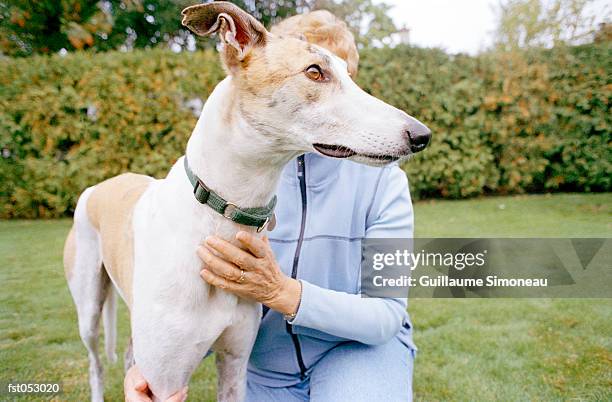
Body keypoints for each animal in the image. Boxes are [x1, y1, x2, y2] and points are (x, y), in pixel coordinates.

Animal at [63, 1, 430, 400]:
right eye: (314, 71)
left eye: (349, 74)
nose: (421, 135)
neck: (219, 214)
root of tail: (102, 184)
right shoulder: (165, 380)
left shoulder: (235, 361)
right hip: (88, 308)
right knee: (95, 362)